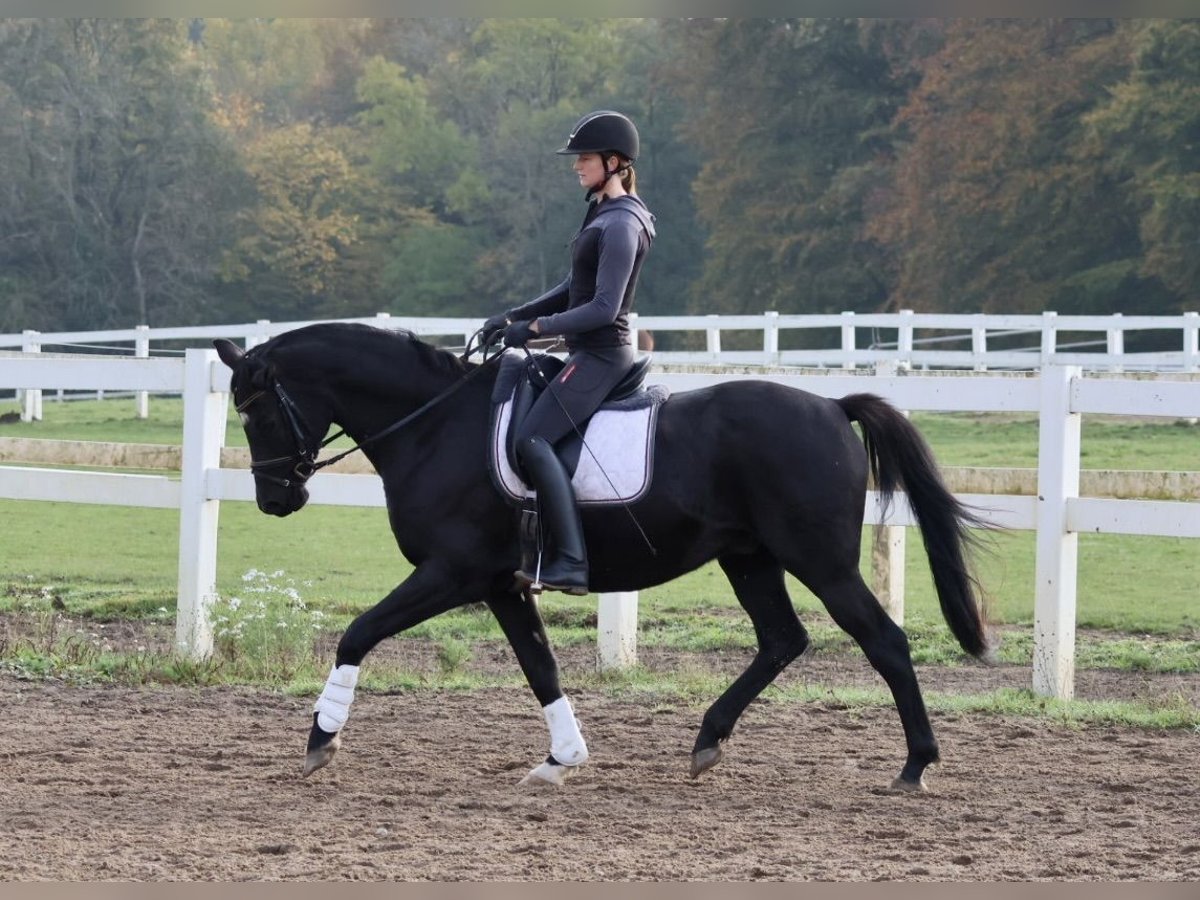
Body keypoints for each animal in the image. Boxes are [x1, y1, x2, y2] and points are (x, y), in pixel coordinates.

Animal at [213, 321, 984, 787]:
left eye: (256, 410)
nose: (275, 498)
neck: (434, 426)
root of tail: (830, 407)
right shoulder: (501, 583)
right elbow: (540, 667)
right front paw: (562, 759)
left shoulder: (453, 572)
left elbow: (358, 632)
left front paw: (321, 740)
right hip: (750, 557)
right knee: (782, 640)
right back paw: (708, 740)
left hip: (819, 560)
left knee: (883, 641)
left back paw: (916, 765)